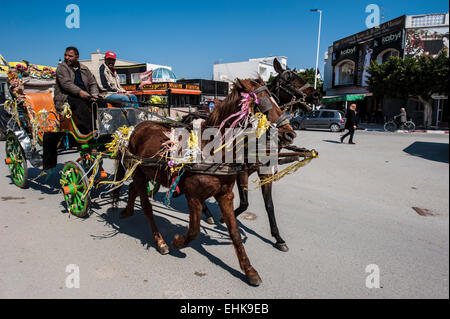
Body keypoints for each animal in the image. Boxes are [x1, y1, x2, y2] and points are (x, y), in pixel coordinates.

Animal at [112, 78, 296, 288]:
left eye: (277, 101)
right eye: (263, 105)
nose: (290, 134)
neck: (212, 151)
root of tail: (135, 129)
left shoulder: (225, 194)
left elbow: (234, 231)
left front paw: (249, 270)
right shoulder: (193, 197)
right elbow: (194, 231)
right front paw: (177, 242)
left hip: (144, 172)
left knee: (132, 188)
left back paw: (127, 211)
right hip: (139, 172)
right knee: (146, 205)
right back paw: (160, 241)